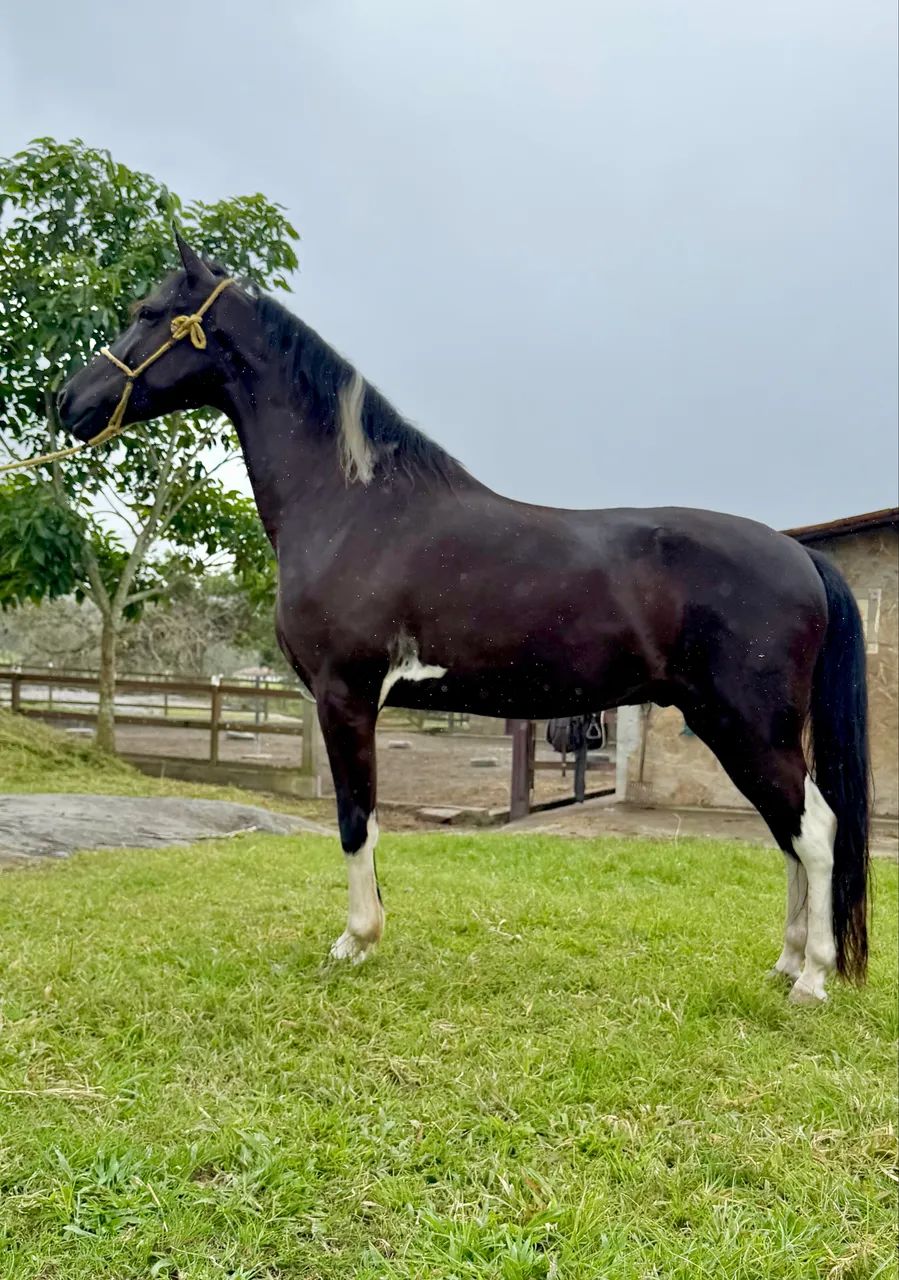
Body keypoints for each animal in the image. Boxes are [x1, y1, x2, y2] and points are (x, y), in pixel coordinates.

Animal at [57, 232, 870, 1003]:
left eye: (147, 312)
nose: (65, 402)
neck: (353, 505)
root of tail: (800, 556)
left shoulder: (345, 696)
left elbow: (356, 819)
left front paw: (355, 942)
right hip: (741, 729)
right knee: (789, 833)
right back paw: (785, 963)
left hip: (747, 725)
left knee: (815, 830)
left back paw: (811, 978)